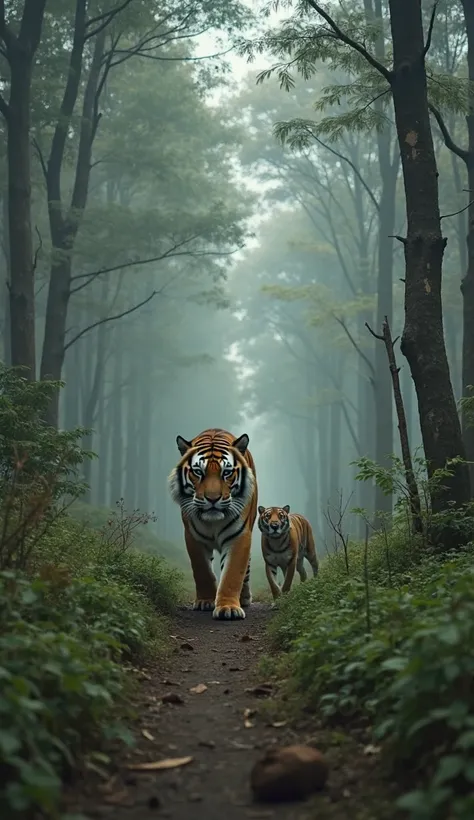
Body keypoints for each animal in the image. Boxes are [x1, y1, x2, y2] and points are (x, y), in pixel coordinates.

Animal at [167, 432, 256, 620]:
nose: (213, 499)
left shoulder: (239, 536)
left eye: (226, 473)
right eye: (198, 472)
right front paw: (205, 601)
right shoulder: (193, 537)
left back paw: (244, 598)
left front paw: (228, 608)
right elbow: (202, 571)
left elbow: (232, 574)